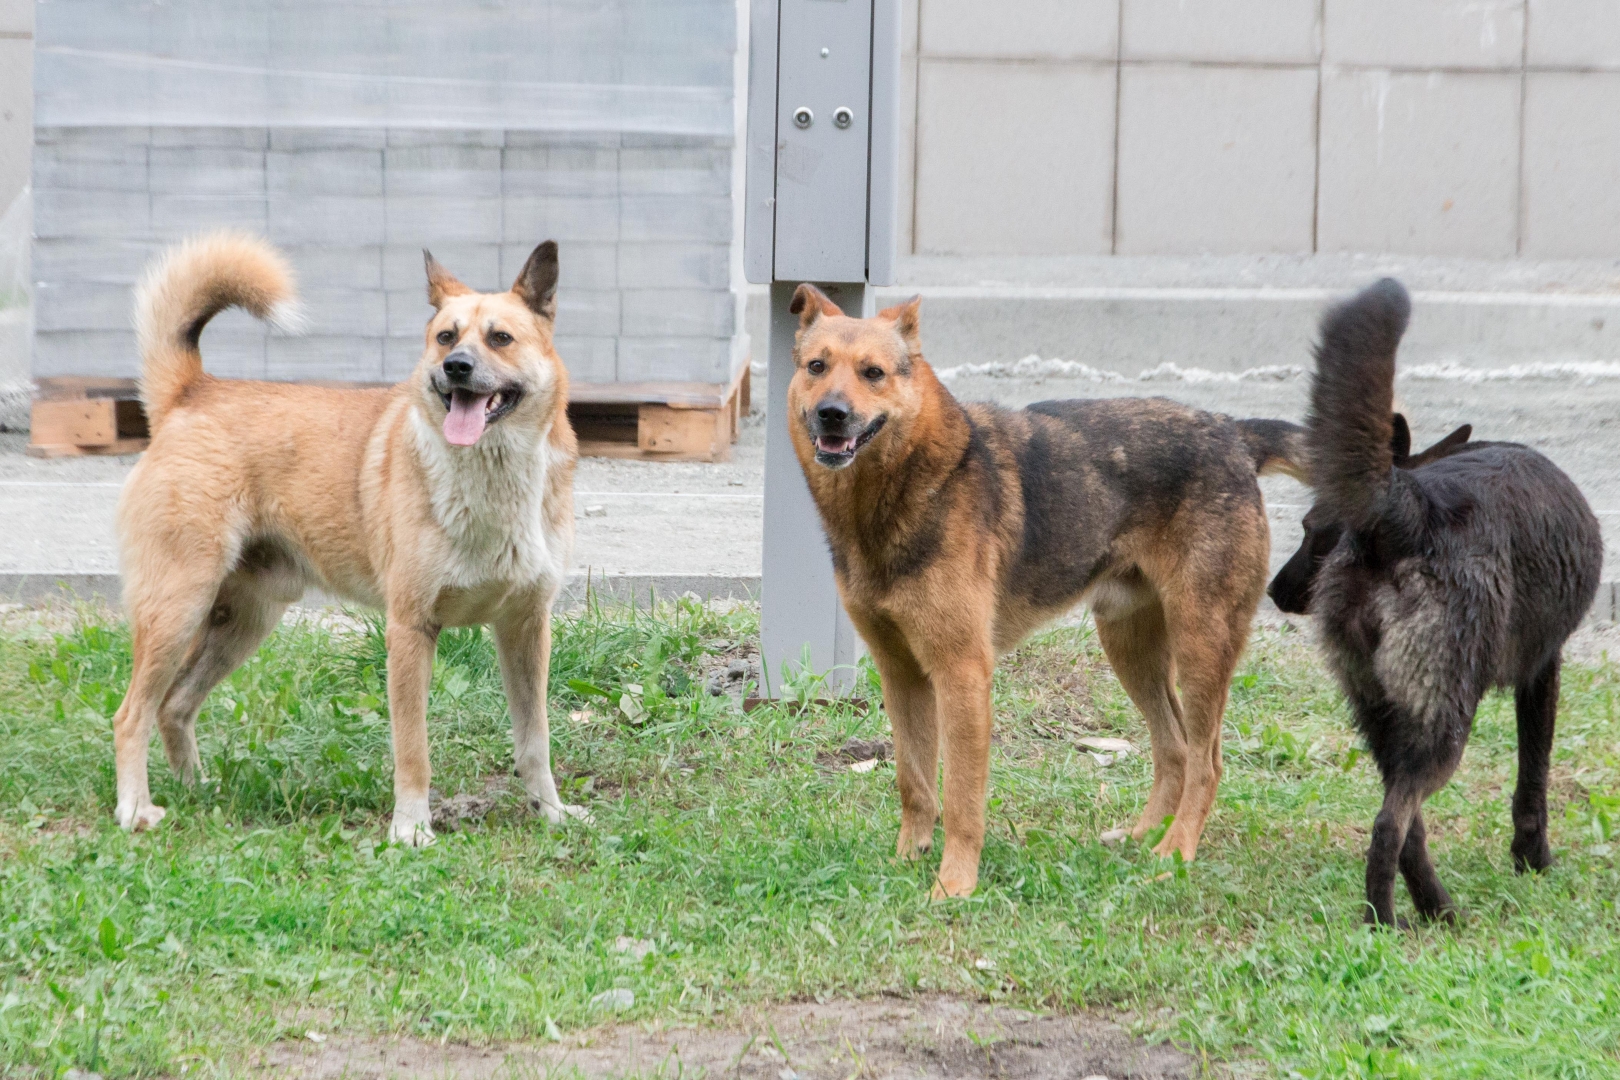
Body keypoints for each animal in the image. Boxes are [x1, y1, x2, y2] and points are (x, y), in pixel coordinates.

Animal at [114, 234, 586, 841]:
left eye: (500, 338)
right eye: (446, 337)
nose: (455, 367)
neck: (491, 478)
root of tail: (192, 392)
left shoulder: (526, 627)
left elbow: (535, 741)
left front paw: (550, 812)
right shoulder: (409, 630)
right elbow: (413, 750)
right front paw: (410, 829)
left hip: (244, 621)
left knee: (173, 705)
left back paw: (196, 792)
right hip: (178, 609)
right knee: (132, 714)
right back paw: (136, 808)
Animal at [780, 284, 1302, 893]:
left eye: (874, 373)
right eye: (817, 367)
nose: (831, 414)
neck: (900, 489)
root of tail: (1232, 431)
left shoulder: (962, 673)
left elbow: (961, 799)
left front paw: (953, 885)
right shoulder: (901, 672)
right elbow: (914, 781)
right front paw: (907, 860)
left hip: (1200, 646)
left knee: (1207, 761)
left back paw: (1176, 850)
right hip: (1132, 648)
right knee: (1174, 747)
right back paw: (1142, 836)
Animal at [1276, 281, 1607, 932]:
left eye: (1310, 531)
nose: (1273, 594)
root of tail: (1402, 506)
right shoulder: (1544, 669)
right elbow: (1533, 778)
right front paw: (1532, 858)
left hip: (1387, 718)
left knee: (1407, 826)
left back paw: (1433, 909)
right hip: (1444, 723)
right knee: (1391, 823)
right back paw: (1388, 919)